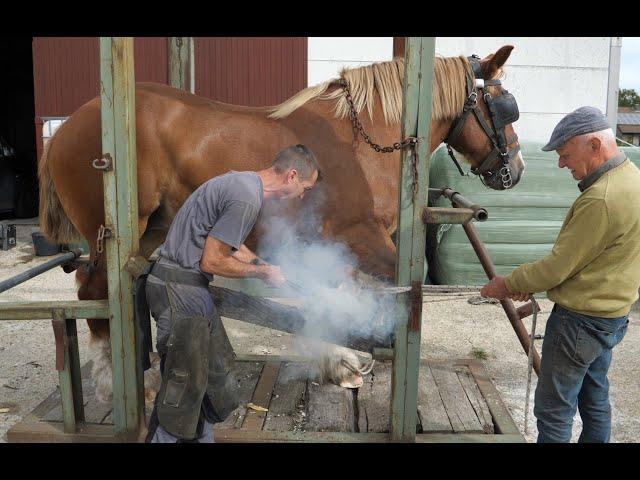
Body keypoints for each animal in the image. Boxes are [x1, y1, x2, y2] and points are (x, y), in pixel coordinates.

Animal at [37, 45, 524, 400]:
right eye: (504, 106)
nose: (515, 170)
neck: (360, 139)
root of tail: (68, 126)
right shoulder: (357, 236)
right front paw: (342, 359)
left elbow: (333, 291)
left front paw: (338, 358)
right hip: (117, 231)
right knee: (96, 292)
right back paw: (116, 380)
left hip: (152, 229)